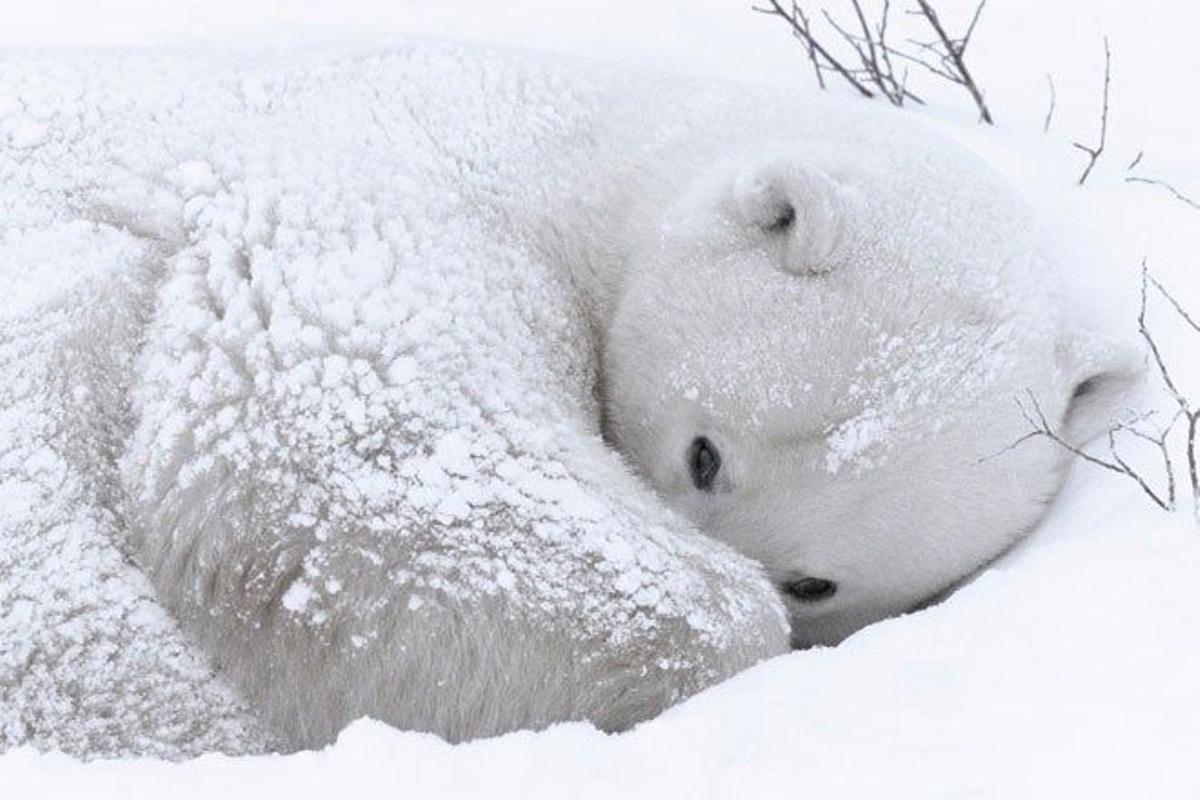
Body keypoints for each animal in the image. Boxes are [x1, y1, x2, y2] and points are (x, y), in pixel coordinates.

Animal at [0, 42, 1137, 758]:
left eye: (816, 580)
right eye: (706, 452)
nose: (741, 557)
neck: (594, 152)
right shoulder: (372, 194)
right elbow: (359, 435)